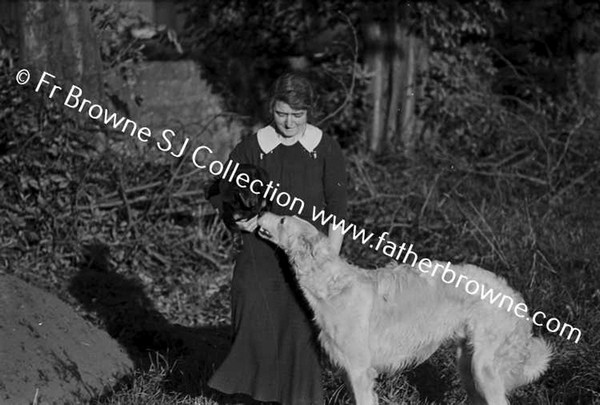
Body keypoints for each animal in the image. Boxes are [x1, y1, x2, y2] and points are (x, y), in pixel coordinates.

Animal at [255, 213, 552, 402]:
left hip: (484, 369)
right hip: (468, 367)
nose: (260, 213)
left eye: (282, 220)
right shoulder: (351, 373)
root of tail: (515, 298)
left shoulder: (360, 372)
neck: (332, 284)